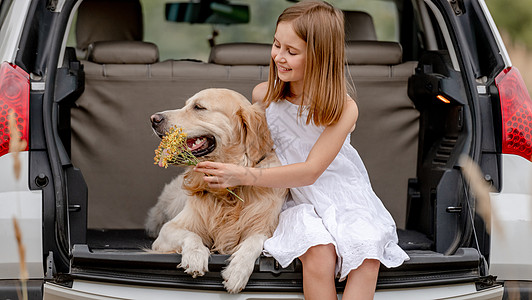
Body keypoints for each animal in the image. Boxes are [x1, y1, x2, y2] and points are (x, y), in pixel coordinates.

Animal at [144, 88, 286, 292]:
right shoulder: (168, 230)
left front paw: (237, 271)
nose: (153, 119)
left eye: (198, 107)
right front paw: (195, 256)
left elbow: (254, 242)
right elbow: (191, 234)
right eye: (186, 105)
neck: (229, 192)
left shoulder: (265, 227)